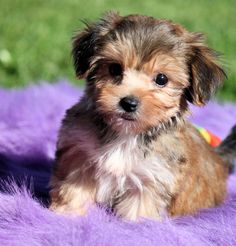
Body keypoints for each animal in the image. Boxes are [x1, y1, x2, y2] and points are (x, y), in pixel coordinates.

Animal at [49, 12, 234, 221]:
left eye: (161, 79)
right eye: (114, 69)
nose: (128, 103)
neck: (125, 134)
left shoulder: (152, 178)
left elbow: (138, 209)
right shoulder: (78, 155)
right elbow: (73, 189)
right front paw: (66, 214)